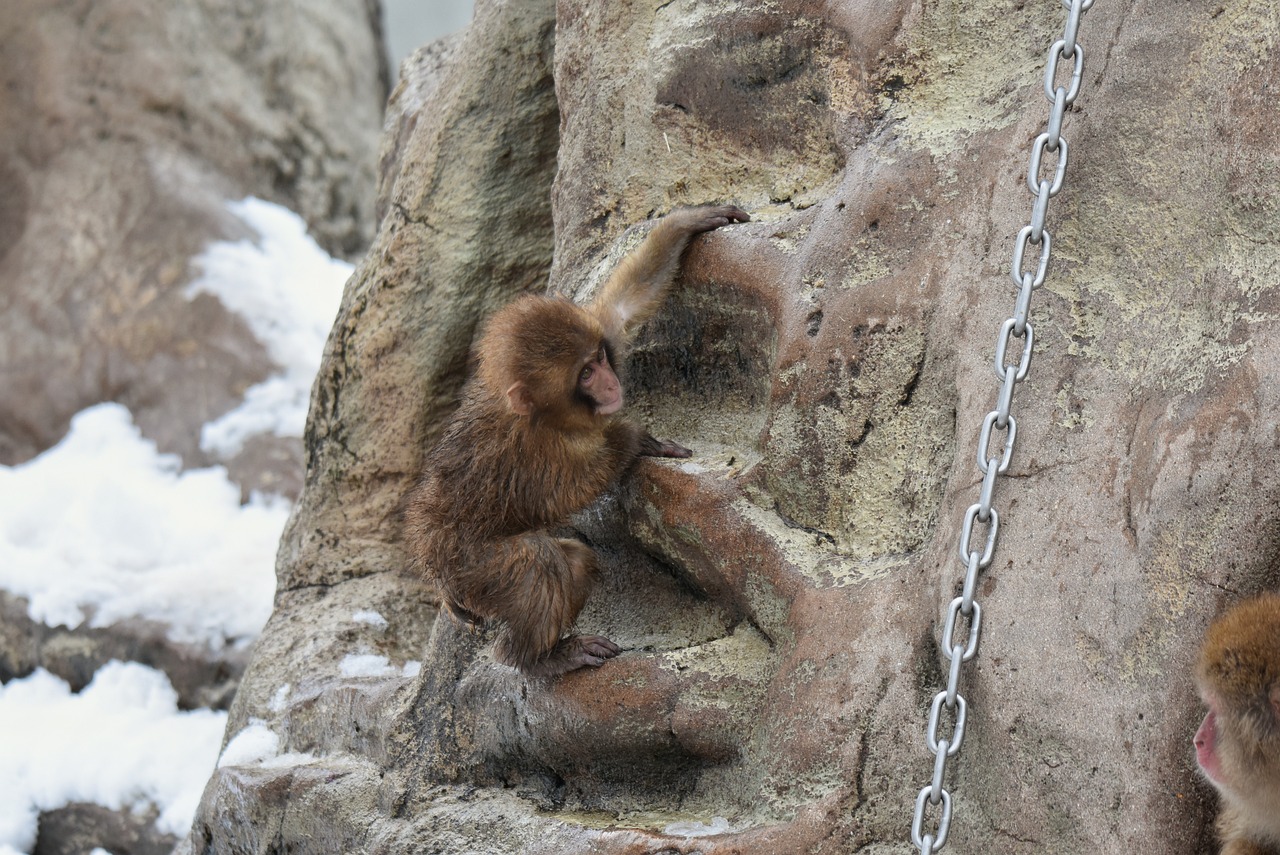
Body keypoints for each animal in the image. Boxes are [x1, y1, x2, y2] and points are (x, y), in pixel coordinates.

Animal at [404, 203, 747, 675]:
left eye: (599, 358)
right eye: (585, 375)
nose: (609, 382)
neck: (551, 419)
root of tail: (437, 575)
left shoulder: (597, 332)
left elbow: (618, 310)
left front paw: (687, 222)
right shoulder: (532, 451)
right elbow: (560, 494)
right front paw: (631, 438)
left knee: (576, 559)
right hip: (469, 573)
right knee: (538, 561)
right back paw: (534, 658)